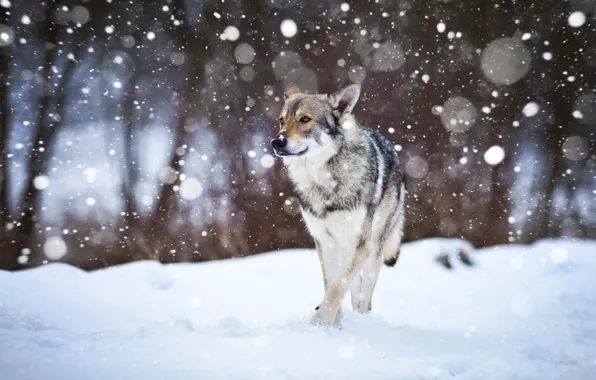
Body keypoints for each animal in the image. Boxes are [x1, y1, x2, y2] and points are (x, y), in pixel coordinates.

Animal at [272, 82, 408, 326]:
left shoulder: (362, 246)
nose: (276, 142)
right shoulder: (325, 242)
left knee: (365, 298)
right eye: (281, 120)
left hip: (374, 250)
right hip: (345, 246)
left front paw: (321, 322)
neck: (324, 181)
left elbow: (336, 289)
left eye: (305, 119)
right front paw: (332, 324)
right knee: (354, 286)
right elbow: (331, 284)